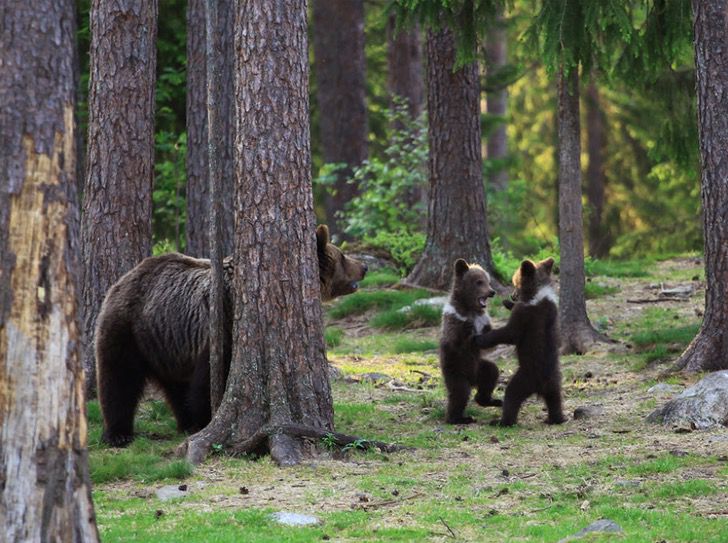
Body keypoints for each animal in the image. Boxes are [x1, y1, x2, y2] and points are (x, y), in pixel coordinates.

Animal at [96, 225, 366, 446]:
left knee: (175, 386)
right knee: (119, 378)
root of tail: (124, 278)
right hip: (129, 329)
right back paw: (118, 433)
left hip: (167, 342)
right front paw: (206, 420)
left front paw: (198, 421)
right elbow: (208, 382)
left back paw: (184, 422)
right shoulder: (221, 329)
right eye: (343, 256)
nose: (364, 267)